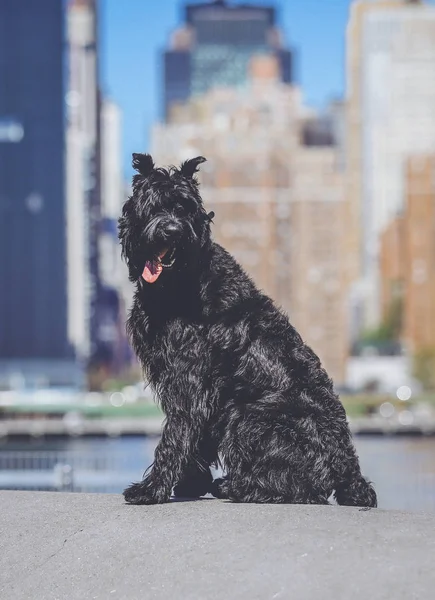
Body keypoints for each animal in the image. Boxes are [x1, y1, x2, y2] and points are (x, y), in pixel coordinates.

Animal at [120, 154, 378, 506]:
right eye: (152, 205)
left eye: (185, 208)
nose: (172, 230)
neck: (182, 282)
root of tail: (350, 473)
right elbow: (194, 437)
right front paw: (189, 484)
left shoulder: (189, 378)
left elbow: (176, 433)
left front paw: (152, 489)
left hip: (248, 417)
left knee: (303, 488)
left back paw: (238, 487)